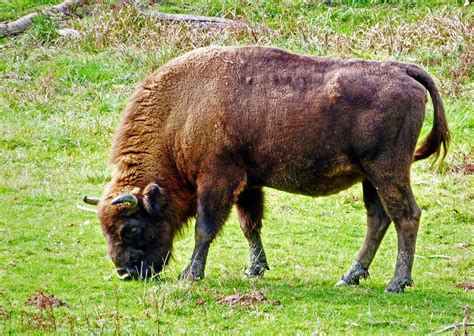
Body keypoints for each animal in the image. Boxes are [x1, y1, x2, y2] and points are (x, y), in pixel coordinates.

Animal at [83, 46, 450, 292]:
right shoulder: (248, 184)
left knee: (406, 215)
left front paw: (191, 275)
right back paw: (350, 276)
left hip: (387, 171)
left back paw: (397, 282)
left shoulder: (218, 179)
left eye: (130, 228)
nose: (125, 273)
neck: (181, 111)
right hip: (370, 177)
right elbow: (250, 225)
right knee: (379, 219)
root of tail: (403, 71)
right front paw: (255, 269)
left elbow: (206, 227)